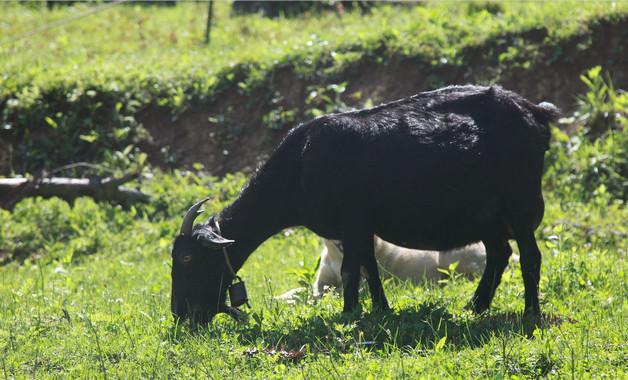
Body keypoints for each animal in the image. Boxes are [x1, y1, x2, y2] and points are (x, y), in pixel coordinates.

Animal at [169, 85, 556, 324]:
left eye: (187, 258)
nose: (179, 314)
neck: (301, 165)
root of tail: (535, 111)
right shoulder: (360, 225)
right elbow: (370, 267)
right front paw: (381, 311)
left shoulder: (352, 219)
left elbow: (351, 271)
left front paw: (348, 315)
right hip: (487, 213)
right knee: (500, 253)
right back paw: (473, 308)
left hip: (519, 197)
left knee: (529, 256)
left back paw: (530, 315)